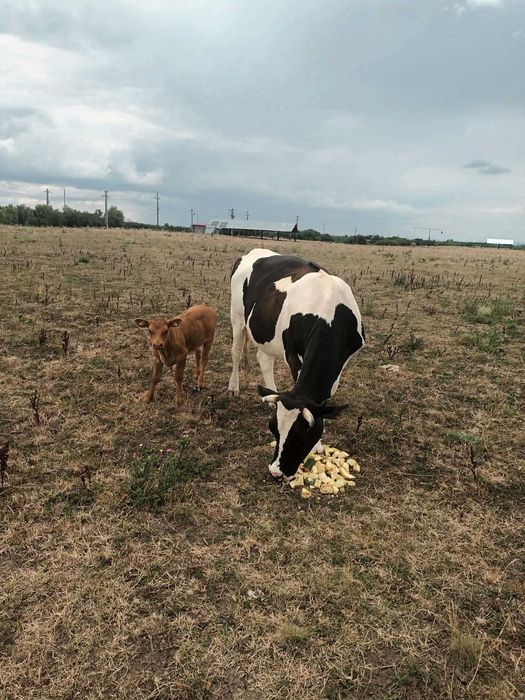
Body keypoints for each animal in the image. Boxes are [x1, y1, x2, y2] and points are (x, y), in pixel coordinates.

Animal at [228, 248, 364, 479]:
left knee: (264, 359)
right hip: (237, 316)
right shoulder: (292, 354)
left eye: (301, 436)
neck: (327, 310)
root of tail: (253, 252)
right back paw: (233, 387)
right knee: (236, 351)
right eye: (273, 429)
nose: (276, 472)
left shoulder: (342, 361)